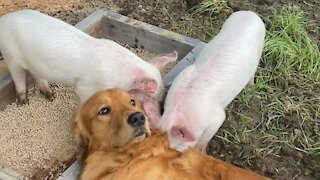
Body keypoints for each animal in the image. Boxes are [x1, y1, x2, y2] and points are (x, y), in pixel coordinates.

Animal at [0, 9, 178, 113]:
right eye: (149, 96)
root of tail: (4, 20)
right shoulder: (85, 86)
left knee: (37, 76)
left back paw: (51, 97)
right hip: (10, 55)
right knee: (18, 78)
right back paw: (23, 103)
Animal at [159, 10, 266, 152]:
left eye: (175, 149)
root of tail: (250, 13)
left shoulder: (217, 118)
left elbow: (205, 138)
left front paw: (201, 151)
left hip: (260, 46)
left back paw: (251, 86)